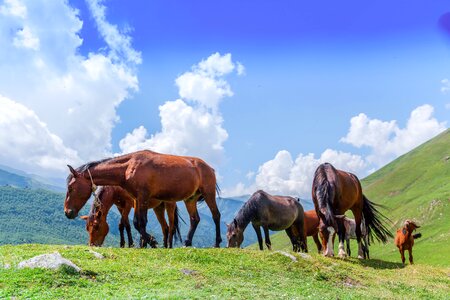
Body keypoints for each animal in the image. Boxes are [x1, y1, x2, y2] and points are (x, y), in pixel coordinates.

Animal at [64, 149, 222, 246]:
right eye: (87, 228)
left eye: (71, 188)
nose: (67, 212)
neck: (128, 168)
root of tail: (209, 167)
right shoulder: (136, 200)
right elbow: (135, 223)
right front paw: (146, 242)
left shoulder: (140, 198)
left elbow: (139, 223)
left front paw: (150, 242)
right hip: (190, 199)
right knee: (194, 219)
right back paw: (187, 243)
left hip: (206, 194)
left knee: (215, 216)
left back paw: (216, 243)